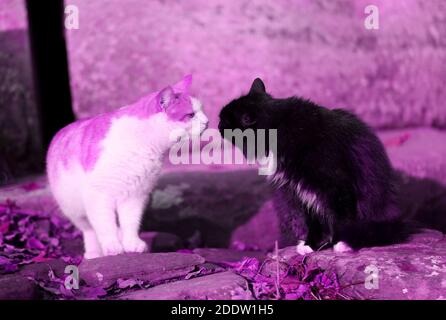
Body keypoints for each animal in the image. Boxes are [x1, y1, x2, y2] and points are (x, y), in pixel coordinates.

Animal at [47, 76, 207, 258]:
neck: (142, 143)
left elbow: (130, 223)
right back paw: (94, 252)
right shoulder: (98, 196)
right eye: (191, 115)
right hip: (73, 208)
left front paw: (131, 244)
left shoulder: (135, 195)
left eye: (201, 111)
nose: (207, 122)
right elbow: (105, 225)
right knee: (89, 229)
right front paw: (112, 246)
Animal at [218, 77, 412, 252]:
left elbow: (341, 220)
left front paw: (342, 242)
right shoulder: (302, 190)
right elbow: (313, 222)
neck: (279, 129)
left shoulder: (336, 187)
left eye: (226, 121)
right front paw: (311, 245)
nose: (218, 124)